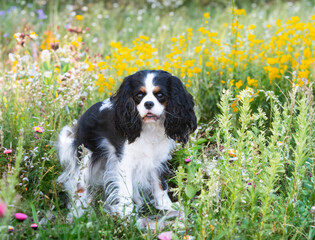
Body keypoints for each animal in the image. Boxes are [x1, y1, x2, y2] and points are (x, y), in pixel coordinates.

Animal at [56, 69, 195, 218]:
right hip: (86, 158)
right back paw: (77, 212)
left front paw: (167, 206)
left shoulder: (156, 160)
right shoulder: (125, 161)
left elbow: (159, 184)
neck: (150, 128)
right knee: (79, 186)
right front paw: (127, 214)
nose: (148, 103)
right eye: (139, 95)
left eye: (160, 95)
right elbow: (126, 187)